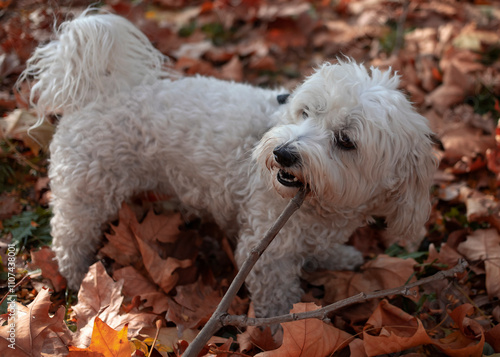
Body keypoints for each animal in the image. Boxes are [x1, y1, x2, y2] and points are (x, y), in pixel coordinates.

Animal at [21, 11, 436, 318]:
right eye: (307, 112)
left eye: (346, 140)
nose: (283, 153)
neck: (320, 206)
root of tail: (101, 92)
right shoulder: (267, 250)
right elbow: (276, 300)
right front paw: (277, 333)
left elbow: (323, 248)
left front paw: (337, 257)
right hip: (86, 190)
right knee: (69, 236)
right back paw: (77, 277)